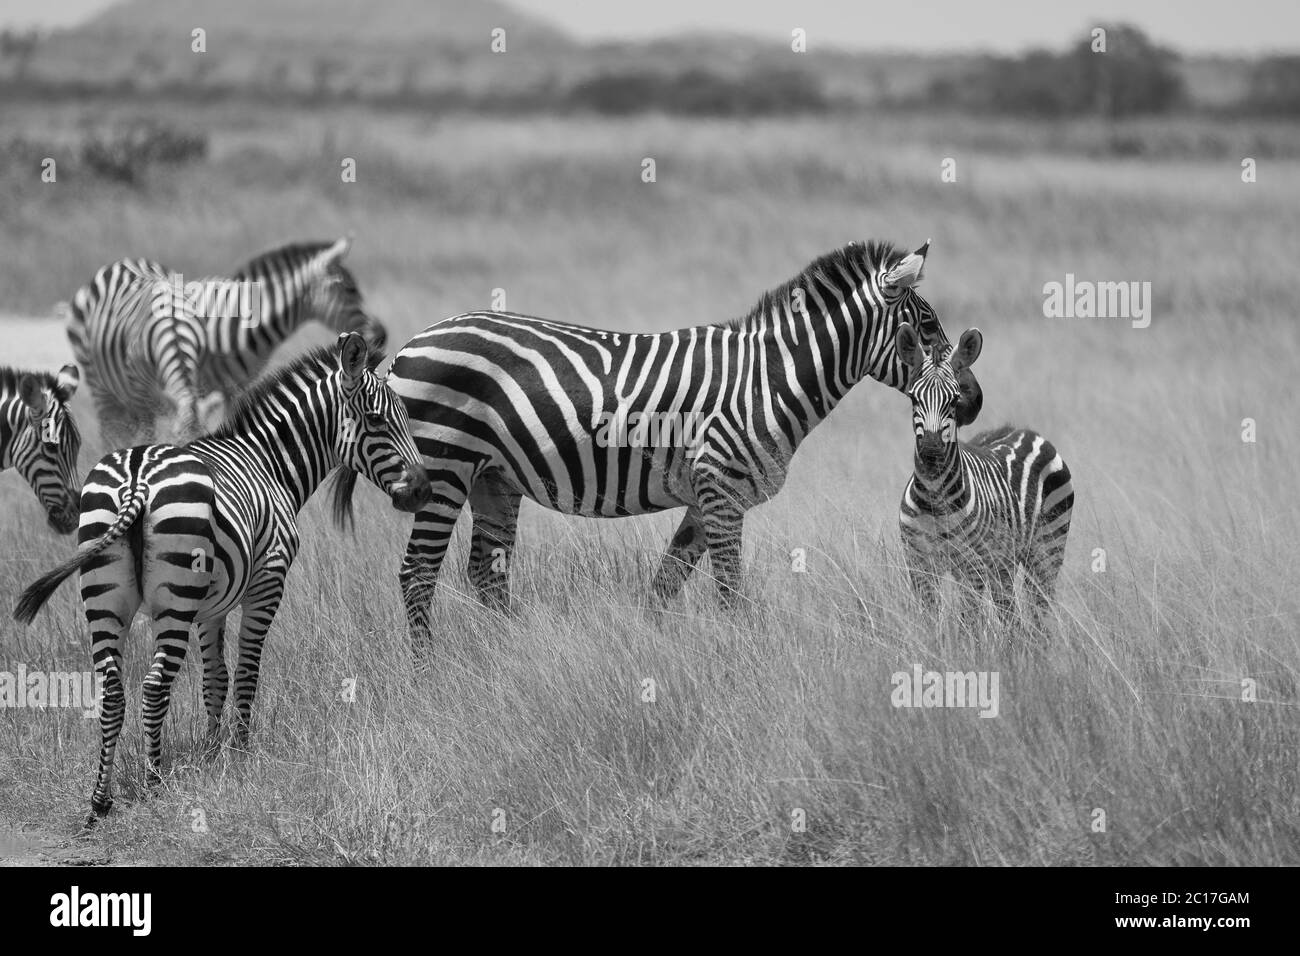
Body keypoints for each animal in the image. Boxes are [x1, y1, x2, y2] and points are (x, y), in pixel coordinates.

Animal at [13, 335, 431, 822]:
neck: (269, 464)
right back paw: (154, 784)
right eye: (379, 420)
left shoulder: (210, 608)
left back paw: (100, 800)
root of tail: (137, 476)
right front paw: (241, 753)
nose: (424, 491)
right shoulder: (266, 583)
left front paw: (213, 754)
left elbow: (216, 678)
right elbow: (247, 671)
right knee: (154, 686)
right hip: (174, 600)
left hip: (104, 595)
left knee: (113, 690)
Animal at [67, 239, 384, 447]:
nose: (381, 334)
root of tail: (117, 264)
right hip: (102, 385)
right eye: (350, 289)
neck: (236, 322)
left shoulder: (234, 389)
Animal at [377, 238, 982, 650]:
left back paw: (512, 658)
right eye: (924, 331)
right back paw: (429, 673)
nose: (974, 402)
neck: (769, 379)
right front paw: (741, 666)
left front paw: (650, 654)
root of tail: (410, 345)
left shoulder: (706, 496)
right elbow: (729, 594)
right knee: (417, 574)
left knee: (486, 576)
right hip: (444, 467)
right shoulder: (721, 488)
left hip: (492, 478)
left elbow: (664, 585)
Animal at [894, 321, 1076, 629]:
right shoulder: (918, 564)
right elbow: (931, 623)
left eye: (954, 399)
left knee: (1038, 616)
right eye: (913, 397)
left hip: (1047, 550)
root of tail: (1026, 431)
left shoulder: (972, 567)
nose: (931, 451)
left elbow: (969, 625)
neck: (934, 497)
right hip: (1004, 563)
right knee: (1011, 615)